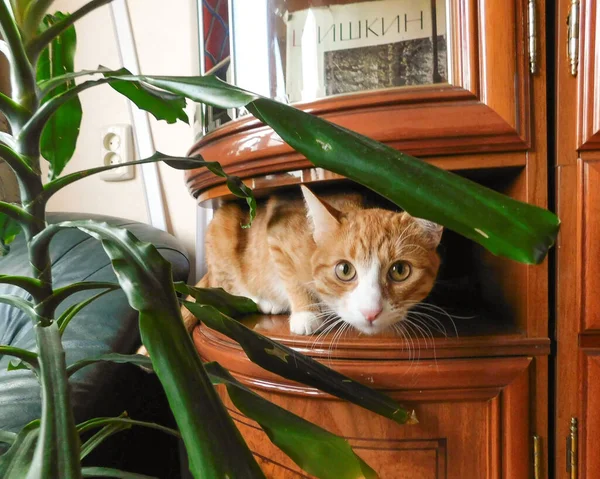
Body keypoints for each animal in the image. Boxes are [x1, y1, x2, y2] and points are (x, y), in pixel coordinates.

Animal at [185, 186, 442, 336]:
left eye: (400, 270)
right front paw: (305, 314)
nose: (371, 313)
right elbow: (291, 279)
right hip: (221, 232)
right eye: (344, 270)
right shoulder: (277, 235)